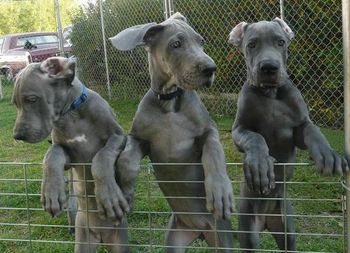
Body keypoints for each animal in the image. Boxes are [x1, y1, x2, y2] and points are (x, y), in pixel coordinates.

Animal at [12, 56, 131, 252]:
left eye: (32, 99)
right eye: (15, 104)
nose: (17, 136)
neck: (72, 114)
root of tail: (101, 236)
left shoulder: (119, 137)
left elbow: (101, 157)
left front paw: (109, 196)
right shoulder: (68, 156)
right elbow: (52, 154)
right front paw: (51, 192)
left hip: (119, 241)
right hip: (83, 237)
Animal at [110, 12, 234, 253]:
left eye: (201, 41)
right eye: (176, 44)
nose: (211, 68)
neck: (169, 101)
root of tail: (200, 231)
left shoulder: (208, 131)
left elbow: (214, 153)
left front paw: (219, 191)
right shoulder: (139, 138)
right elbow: (127, 158)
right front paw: (126, 191)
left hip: (222, 238)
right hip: (175, 236)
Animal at [228, 17, 348, 251]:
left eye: (281, 42)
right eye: (251, 45)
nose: (269, 67)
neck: (271, 93)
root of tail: (266, 219)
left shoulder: (299, 127)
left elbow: (312, 131)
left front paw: (328, 155)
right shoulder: (239, 129)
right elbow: (255, 138)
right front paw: (260, 166)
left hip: (287, 228)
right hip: (248, 229)